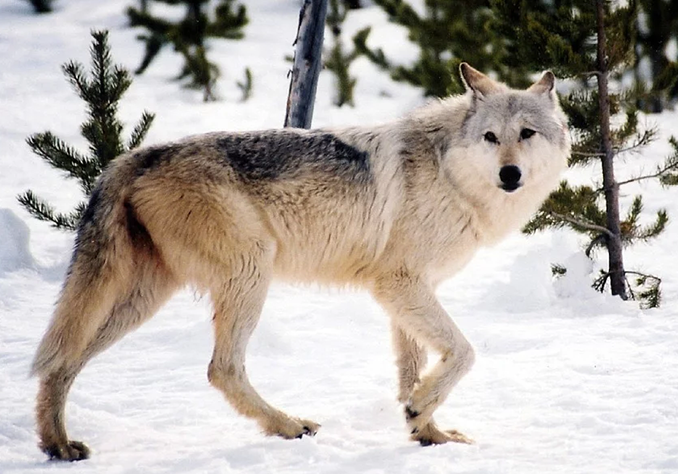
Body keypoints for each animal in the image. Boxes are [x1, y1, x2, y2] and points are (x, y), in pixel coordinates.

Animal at [31, 63, 570, 460]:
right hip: (250, 272)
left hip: (143, 298)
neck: (449, 174)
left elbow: (412, 371)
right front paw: (421, 413)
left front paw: (427, 432)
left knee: (61, 362)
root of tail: (135, 156)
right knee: (221, 369)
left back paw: (57, 445)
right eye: (490, 137)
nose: (510, 174)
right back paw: (287, 426)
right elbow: (463, 353)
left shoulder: (408, 292)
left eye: (526, 133)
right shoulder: (398, 284)